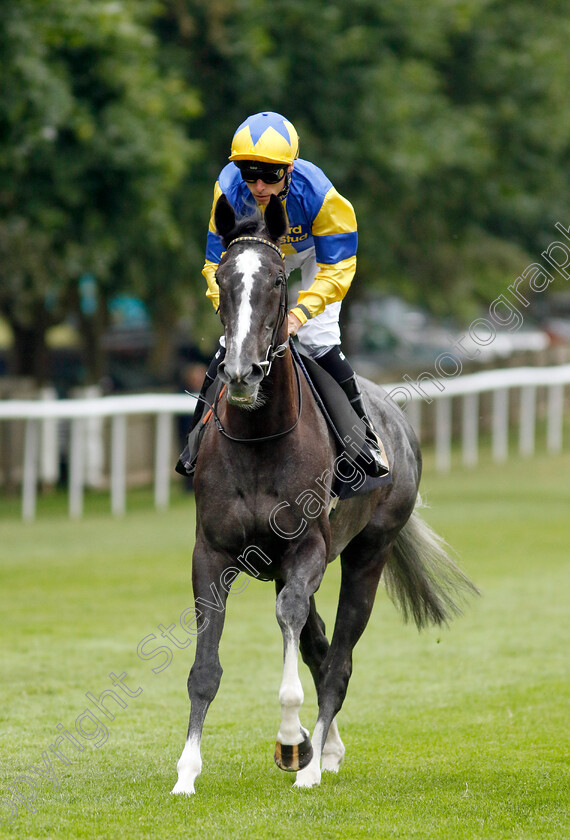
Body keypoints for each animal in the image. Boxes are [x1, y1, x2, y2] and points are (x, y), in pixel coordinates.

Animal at [171, 194, 478, 792]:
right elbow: (205, 667)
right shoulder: (212, 553)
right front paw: (187, 771)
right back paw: (325, 747)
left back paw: (312, 762)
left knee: (338, 659)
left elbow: (294, 625)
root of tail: (399, 424)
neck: (260, 439)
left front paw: (292, 740)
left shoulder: (307, 547)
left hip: (368, 551)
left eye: (277, 281)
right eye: (222, 277)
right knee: (316, 648)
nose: (241, 373)